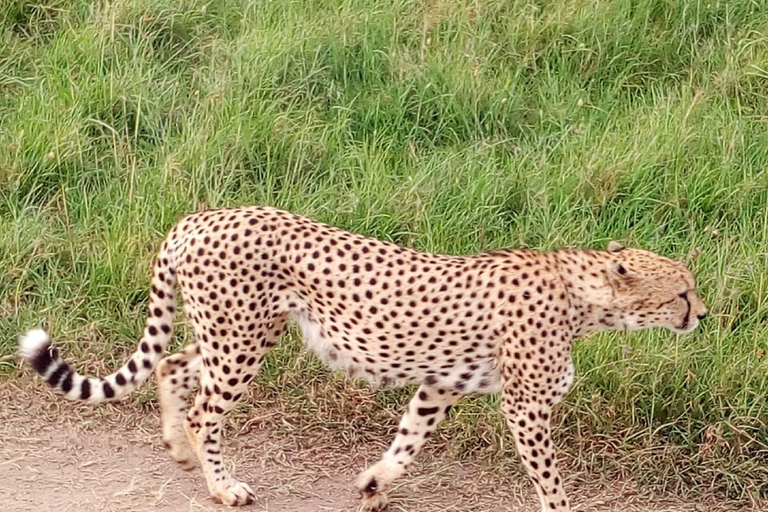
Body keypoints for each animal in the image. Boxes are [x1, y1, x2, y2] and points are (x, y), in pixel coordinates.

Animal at [18, 206, 704, 510]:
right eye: (682, 291)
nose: (703, 314)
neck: (581, 295)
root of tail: (201, 216)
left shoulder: (440, 384)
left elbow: (406, 443)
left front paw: (373, 485)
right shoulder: (525, 404)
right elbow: (549, 478)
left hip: (236, 334)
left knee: (173, 366)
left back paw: (178, 450)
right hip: (240, 342)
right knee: (203, 408)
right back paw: (220, 483)